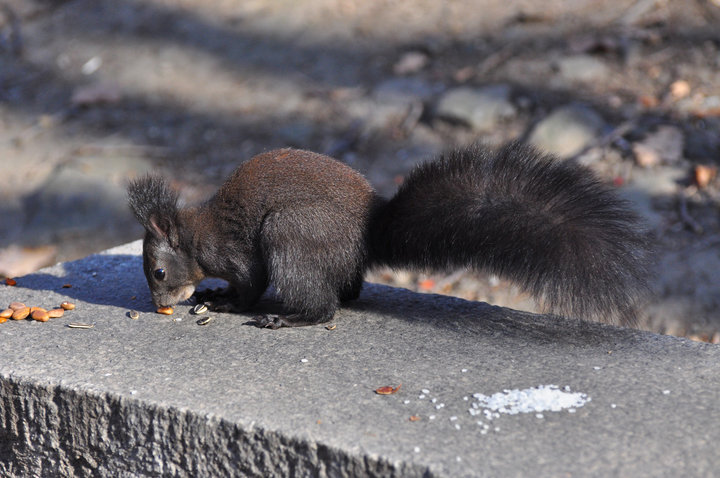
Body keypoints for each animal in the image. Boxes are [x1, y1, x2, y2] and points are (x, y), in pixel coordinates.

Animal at [128, 143, 652, 328]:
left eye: (158, 271)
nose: (158, 306)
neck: (197, 237)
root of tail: (368, 232)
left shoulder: (235, 253)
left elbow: (251, 285)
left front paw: (224, 302)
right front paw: (211, 294)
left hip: (291, 234)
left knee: (324, 307)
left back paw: (289, 318)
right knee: (348, 291)